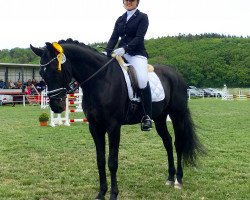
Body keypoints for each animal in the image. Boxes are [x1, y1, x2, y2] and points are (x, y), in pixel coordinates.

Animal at [30, 38, 204, 200]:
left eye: (56, 69)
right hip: (160, 118)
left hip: (177, 116)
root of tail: (176, 74)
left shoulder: (113, 127)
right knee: (167, 142)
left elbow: (112, 162)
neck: (101, 79)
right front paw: (101, 193)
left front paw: (113, 194)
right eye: (42, 74)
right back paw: (169, 178)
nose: (56, 107)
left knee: (178, 144)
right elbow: (100, 160)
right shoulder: (95, 127)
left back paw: (178, 180)